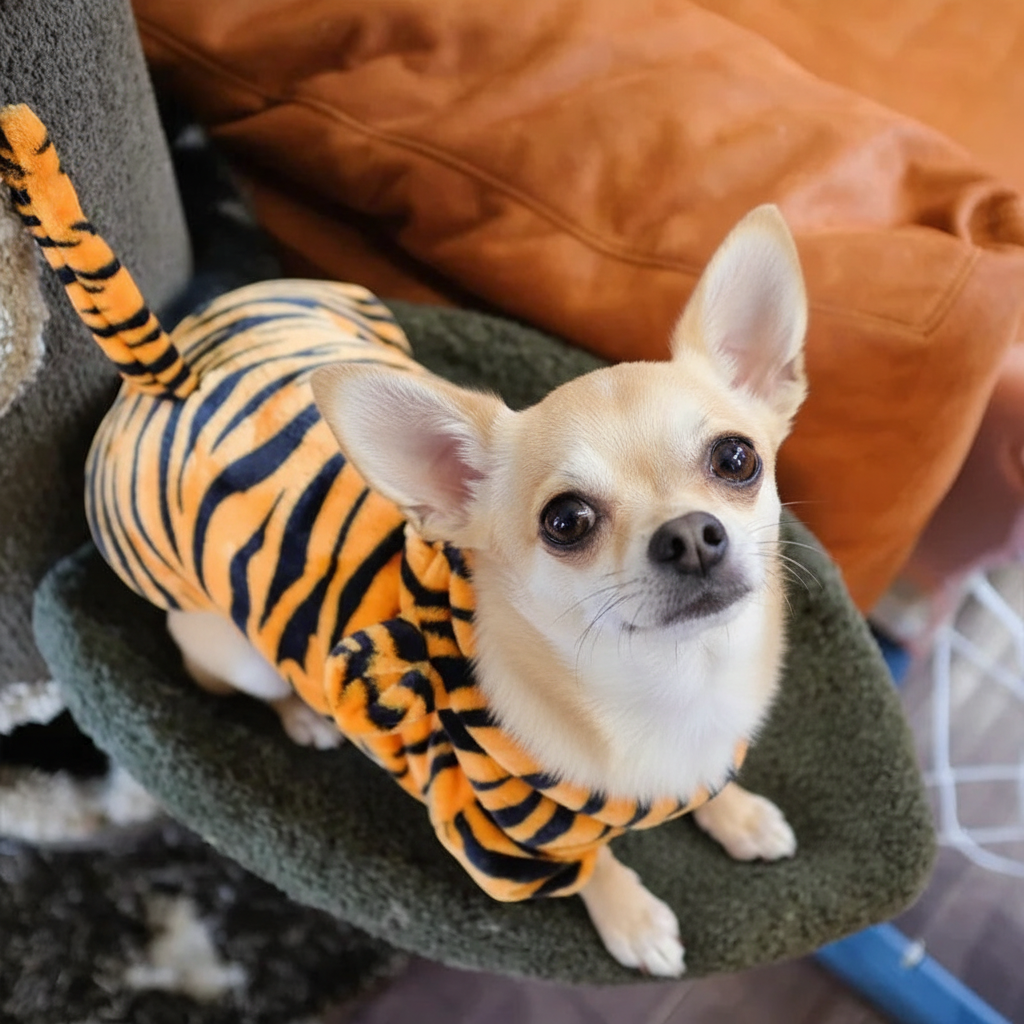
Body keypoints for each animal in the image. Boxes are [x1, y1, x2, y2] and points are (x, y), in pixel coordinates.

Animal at [1, 103, 803, 977]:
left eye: (736, 459)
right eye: (566, 522)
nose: (691, 536)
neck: (674, 684)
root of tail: (173, 378)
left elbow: (707, 792)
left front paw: (739, 813)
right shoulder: (501, 834)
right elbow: (594, 864)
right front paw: (632, 917)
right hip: (230, 649)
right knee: (256, 680)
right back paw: (305, 715)